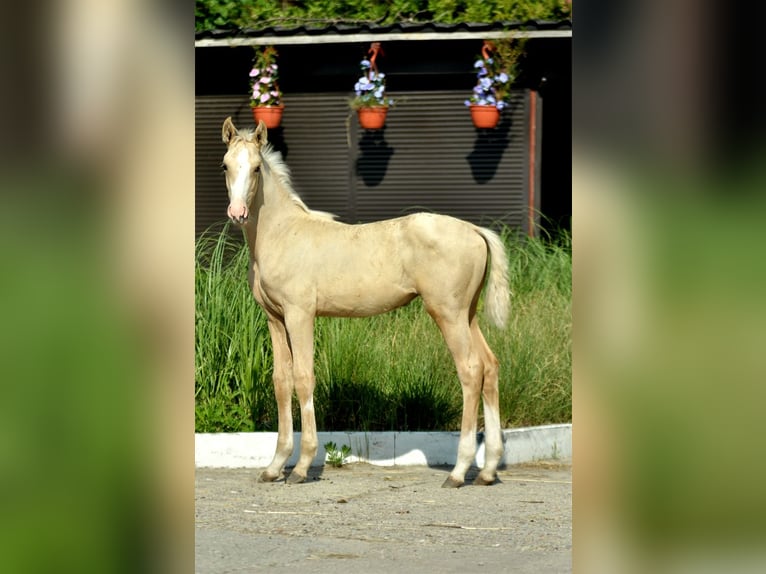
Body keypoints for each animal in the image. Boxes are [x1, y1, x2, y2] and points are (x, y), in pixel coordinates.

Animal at [222, 119, 510, 488]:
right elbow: (281, 382)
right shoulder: (275, 318)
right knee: (490, 366)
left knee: (471, 371)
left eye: (257, 168)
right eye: (226, 166)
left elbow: (303, 377)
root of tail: (475, 230)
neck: (283, 233)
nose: (237, 213)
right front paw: (274, 466)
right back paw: (487, 471)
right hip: (467, 314)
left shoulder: (300, 315)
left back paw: (459, 472)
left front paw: (301, 467)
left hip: (448, 313)